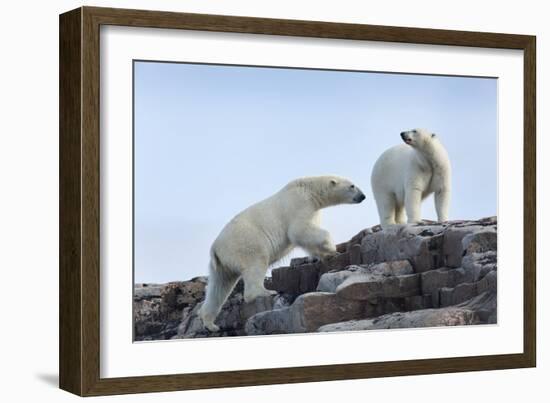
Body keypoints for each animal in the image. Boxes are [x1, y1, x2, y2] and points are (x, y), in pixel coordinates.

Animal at [198, 176, 366, 332]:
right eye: (352, 186)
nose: (363, 196)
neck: (310, 189)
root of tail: (215, 248)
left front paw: (326, 254)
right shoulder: (299, 204)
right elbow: (299, 230)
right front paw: (331, 246)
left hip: (221, 264)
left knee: (219, 286)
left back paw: (210, 324)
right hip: (245, 244)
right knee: (256, 264)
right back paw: (264, 292)